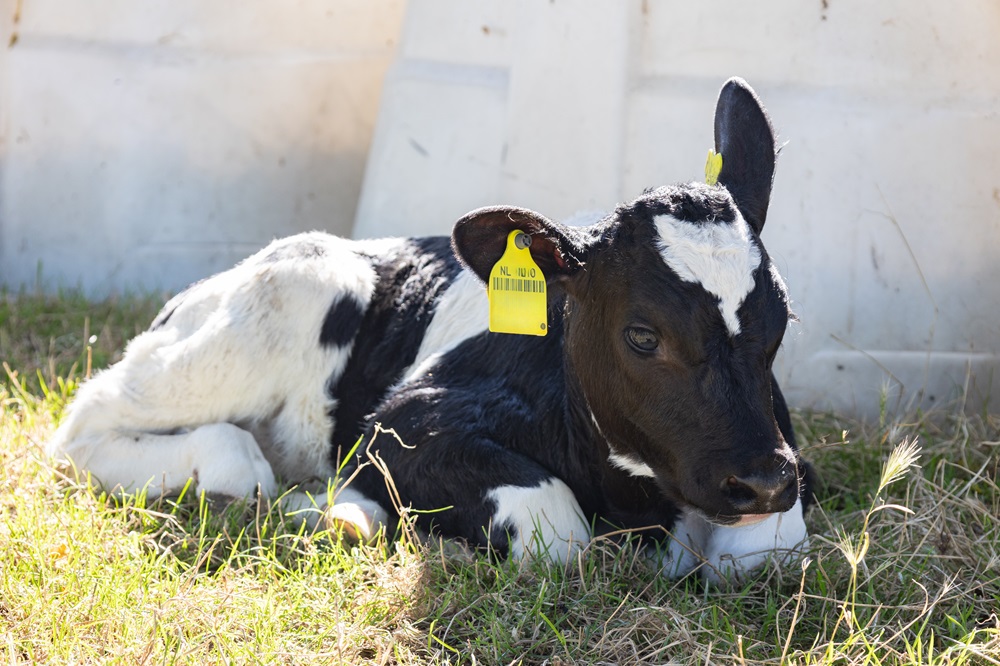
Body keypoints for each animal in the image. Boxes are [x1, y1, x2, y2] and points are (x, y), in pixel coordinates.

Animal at [47, 78, 812, 580]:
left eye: (782, 319)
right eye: (643, 335)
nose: (764, 480)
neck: (641, 507)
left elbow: (770, 547)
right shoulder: (402, 424)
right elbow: (554, 528)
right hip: (292, 290)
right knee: (97, 427)